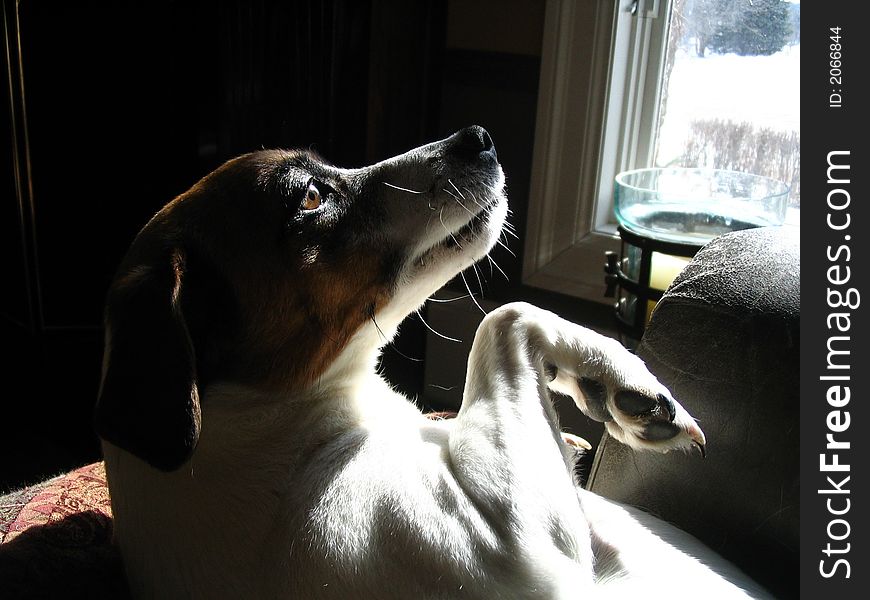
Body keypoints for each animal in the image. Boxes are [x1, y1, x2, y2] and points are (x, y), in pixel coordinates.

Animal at [95, 125, 772, 596]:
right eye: (311, 196)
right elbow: (505, 317)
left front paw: (604, 383)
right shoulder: (518, 555)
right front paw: (622, 379)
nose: (479, 136)